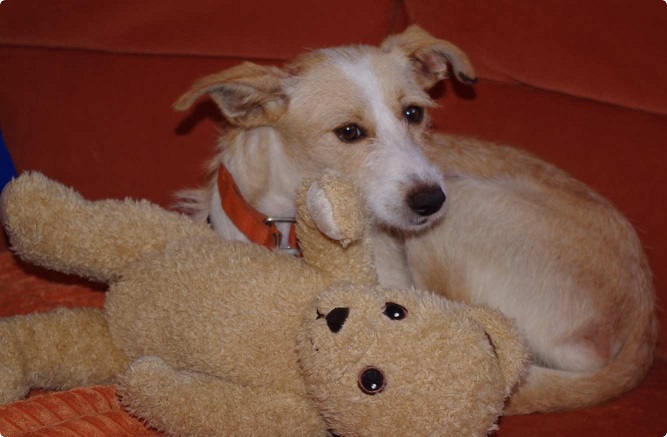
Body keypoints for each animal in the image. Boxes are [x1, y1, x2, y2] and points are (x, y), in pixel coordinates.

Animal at [174, 25, 656, 414]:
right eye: (348, 132)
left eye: (414, 113)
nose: (431, 201)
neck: (289, 224)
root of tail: (644, 328)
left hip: (463, 210)